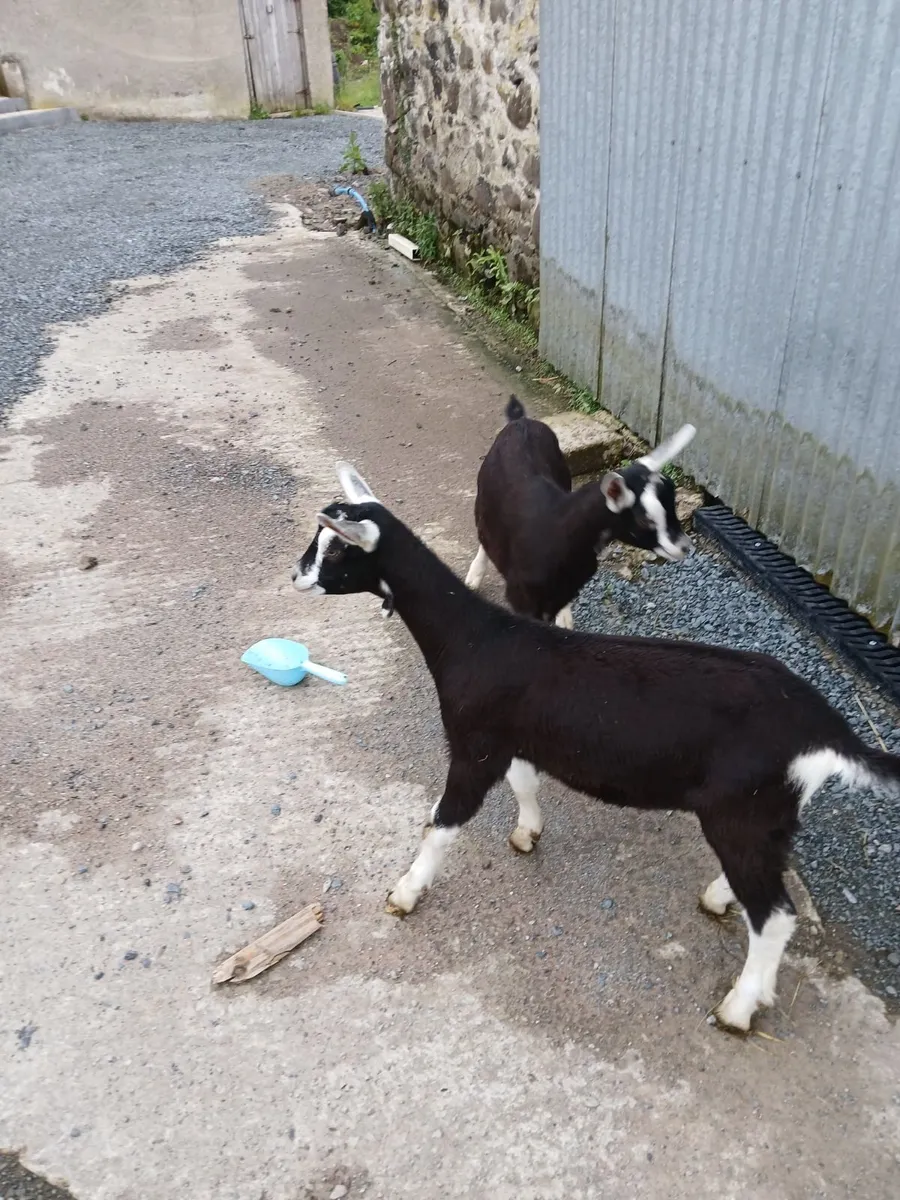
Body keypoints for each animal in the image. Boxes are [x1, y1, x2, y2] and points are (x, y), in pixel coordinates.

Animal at [292, 461, 900, 1033]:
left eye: (335, 548)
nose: (296, 574)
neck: (474, 640)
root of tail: (825, 729)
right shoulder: (513, 737)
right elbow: (524, 782)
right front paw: (527, 833)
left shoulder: (473, 745)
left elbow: (441, 824)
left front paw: (406, 892)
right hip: (765, 810)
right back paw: (720, 897)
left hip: (741, 809)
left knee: (775, 917)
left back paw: (739, 1006)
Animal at [465, 396, 696, 628]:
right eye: (644, 521)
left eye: (673, 507)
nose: (684, 547)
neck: (559, 527)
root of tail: (520, 421)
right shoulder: (522, 596)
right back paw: (474, 576)